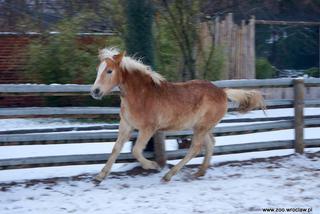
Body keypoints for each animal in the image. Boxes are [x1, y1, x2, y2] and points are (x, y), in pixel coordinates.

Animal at [90, 47, 264, 183]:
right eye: (98, 70)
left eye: (109, 71)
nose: (95, 91)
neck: (141, 95)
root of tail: (222, 92)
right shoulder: (126, 125)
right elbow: (116, 148)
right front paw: (100, 176)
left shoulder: (148, 128)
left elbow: (136, 151)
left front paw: (153, 165)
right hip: (202, 127)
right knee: (210, 144)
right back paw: (200, 172)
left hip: (201, 127)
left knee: (195, 148)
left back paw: (168, 175)